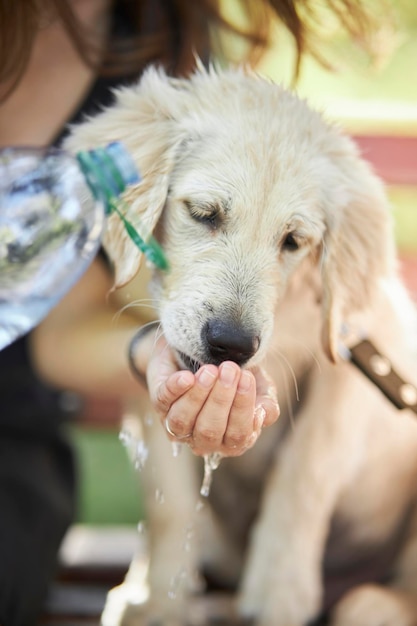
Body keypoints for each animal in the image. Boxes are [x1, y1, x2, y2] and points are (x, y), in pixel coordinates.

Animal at [66, 67, 417, 624]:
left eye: (293, 241)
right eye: (204, 213)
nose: (230, 345)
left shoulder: (347, 365)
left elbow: (302, 473)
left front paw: (278, 597)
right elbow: (168, 500)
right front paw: (159, 599)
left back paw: (374, 604)